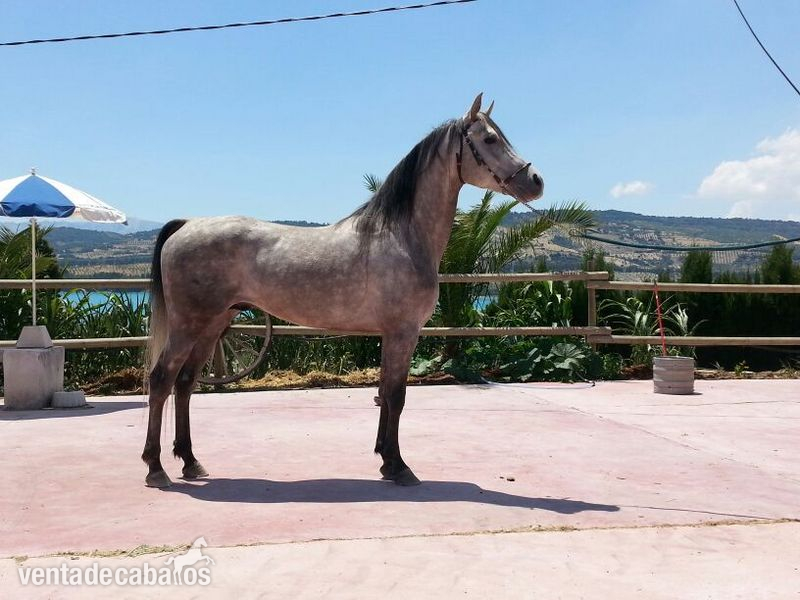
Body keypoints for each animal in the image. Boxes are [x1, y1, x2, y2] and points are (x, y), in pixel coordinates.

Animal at [142, 93, 544, 488]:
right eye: (489, 139)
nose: (536, 181)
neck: (402, 236)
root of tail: (186, 224)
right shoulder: (403, 333)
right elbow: (396, 396)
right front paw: (399, 466)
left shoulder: (391, 335)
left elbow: (385, 393)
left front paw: (385, 460)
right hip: (189, 324)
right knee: (161, 380)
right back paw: (155, 467)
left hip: (213, 325)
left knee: (184, 383)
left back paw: (191, 462)